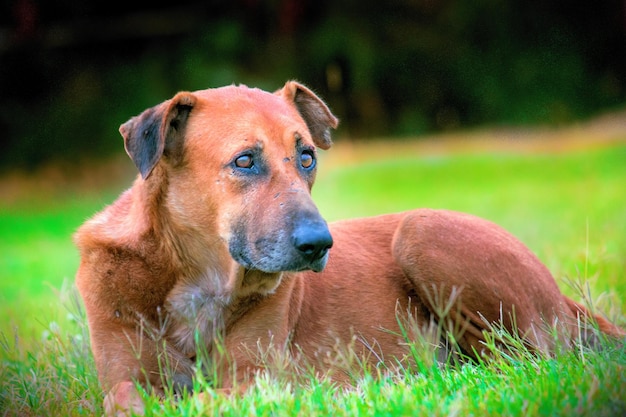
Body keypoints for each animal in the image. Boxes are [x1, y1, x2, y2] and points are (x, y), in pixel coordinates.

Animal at [73, 80, 620, 412]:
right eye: (245, 160)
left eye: (307, 156)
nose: (319, 244)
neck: (201, 277)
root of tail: (564, 300)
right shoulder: (122, 371)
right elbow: (124, 396)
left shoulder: (258, 379)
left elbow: (205, 400)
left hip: (422, 231)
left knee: (523, 362)